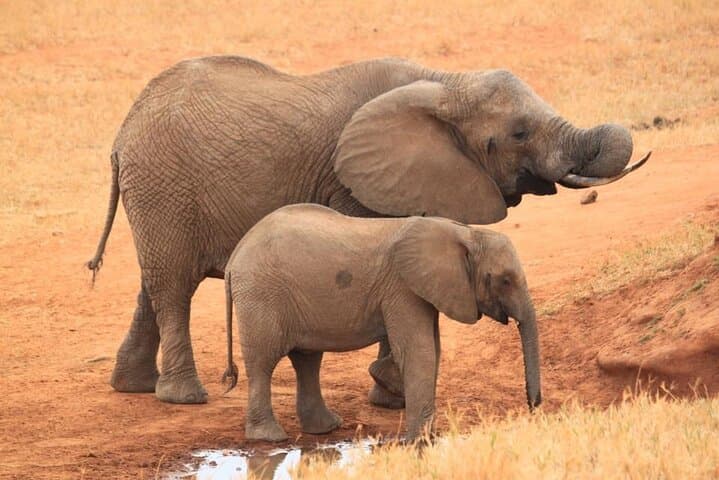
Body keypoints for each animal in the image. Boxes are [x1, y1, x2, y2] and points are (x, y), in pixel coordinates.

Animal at [86, 55, 646, 405]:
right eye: (519, 133)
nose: (534, 403)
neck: (446, 83)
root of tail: (121, 134)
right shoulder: (358, 185)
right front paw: (389, 392)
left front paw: (389, 393)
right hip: (164, 184)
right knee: (173, 286)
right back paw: (185, 397)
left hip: (159, 193)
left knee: (154, 282)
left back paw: (133, 387)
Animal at [222, 204, 540, 442]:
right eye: (505, 280)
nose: (533, 407)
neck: (466, 233)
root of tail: (235, 257)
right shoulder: (402, 286)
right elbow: (420, 351)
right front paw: (421, 441)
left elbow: (432, 348)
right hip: (261, 295)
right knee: (264, 361)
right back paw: (269, 437)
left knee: (307, 360)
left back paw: (326, 428)